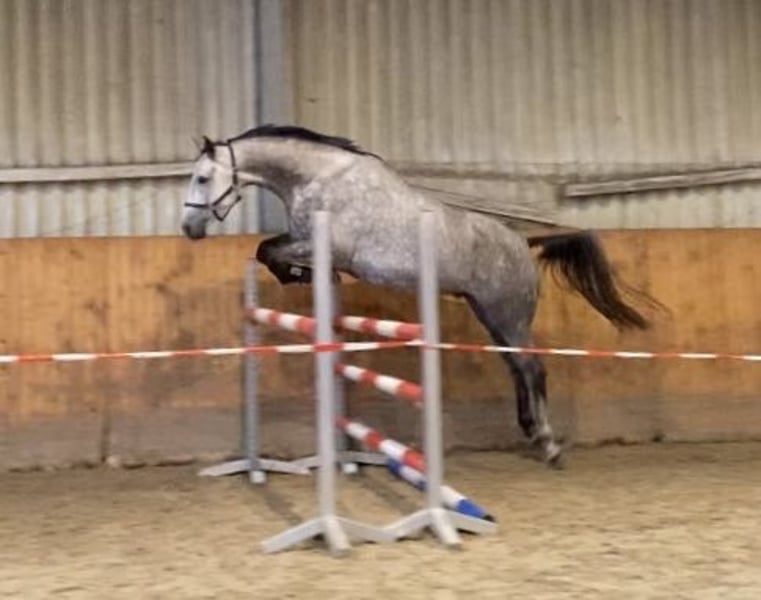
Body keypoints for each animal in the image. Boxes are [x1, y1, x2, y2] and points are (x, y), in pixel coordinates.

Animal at [181, 124, 658, 468]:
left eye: (203, 178)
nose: (189, 228)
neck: (320, 179)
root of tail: (524, 243)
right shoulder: (303, 239)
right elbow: (267, 249)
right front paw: (301, 276)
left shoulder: (323, 244)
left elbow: (271, 251)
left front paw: (296, 274)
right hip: (489, 315)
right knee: (516, 368)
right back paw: (530, 431)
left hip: (509, 315)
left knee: (533, 369)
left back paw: (548, 445)